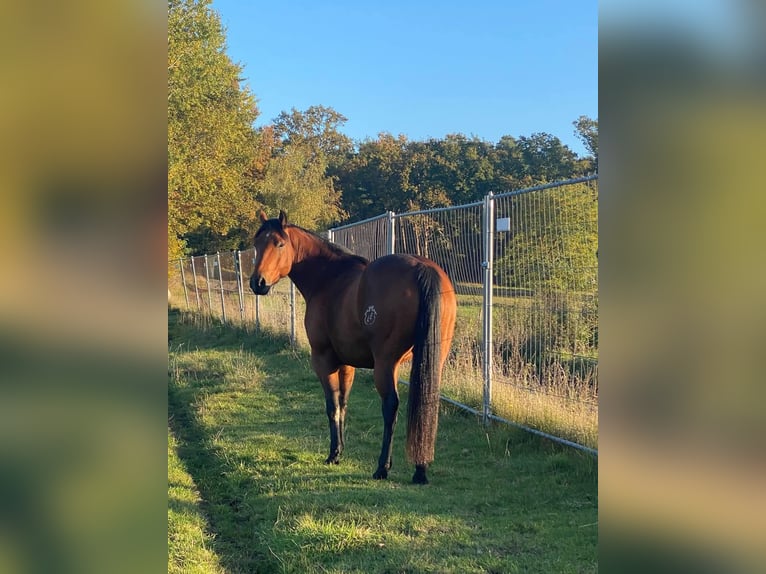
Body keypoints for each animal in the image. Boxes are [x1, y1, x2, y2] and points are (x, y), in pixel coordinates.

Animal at [250, 212, 456, 486]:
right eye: (257, 244)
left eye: (279, 244)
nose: (257, 283)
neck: (329, 279)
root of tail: (422, 268)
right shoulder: (347, 363)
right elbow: (344, 402)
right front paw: (340, 449)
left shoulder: (324, 359)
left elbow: (332, 405)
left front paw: (333, 454)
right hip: (433, 360)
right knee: (426, 404)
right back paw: (420, 469)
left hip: (385, 363)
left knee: (390, 406)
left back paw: (382, 468)